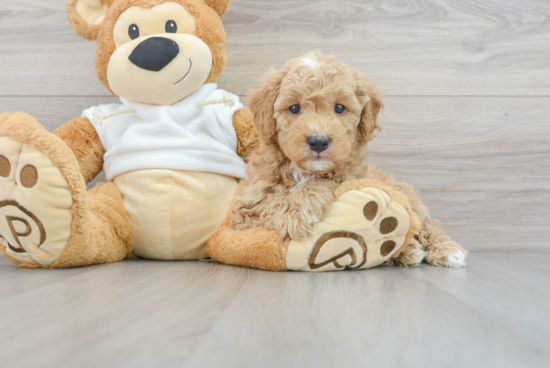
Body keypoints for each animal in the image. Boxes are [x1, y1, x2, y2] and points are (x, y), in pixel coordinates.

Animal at [231, 51, 468, 268]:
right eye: (294, 108)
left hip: (409, 199)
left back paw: (446, 250)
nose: (318, 142)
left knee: (427, 226)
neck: (304, 170)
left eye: (339, 108)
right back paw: (406, 251)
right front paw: (293, 213)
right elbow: (270, 201)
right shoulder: (245, 210)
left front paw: (297, 208)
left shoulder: (349, 177)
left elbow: (325, 180)